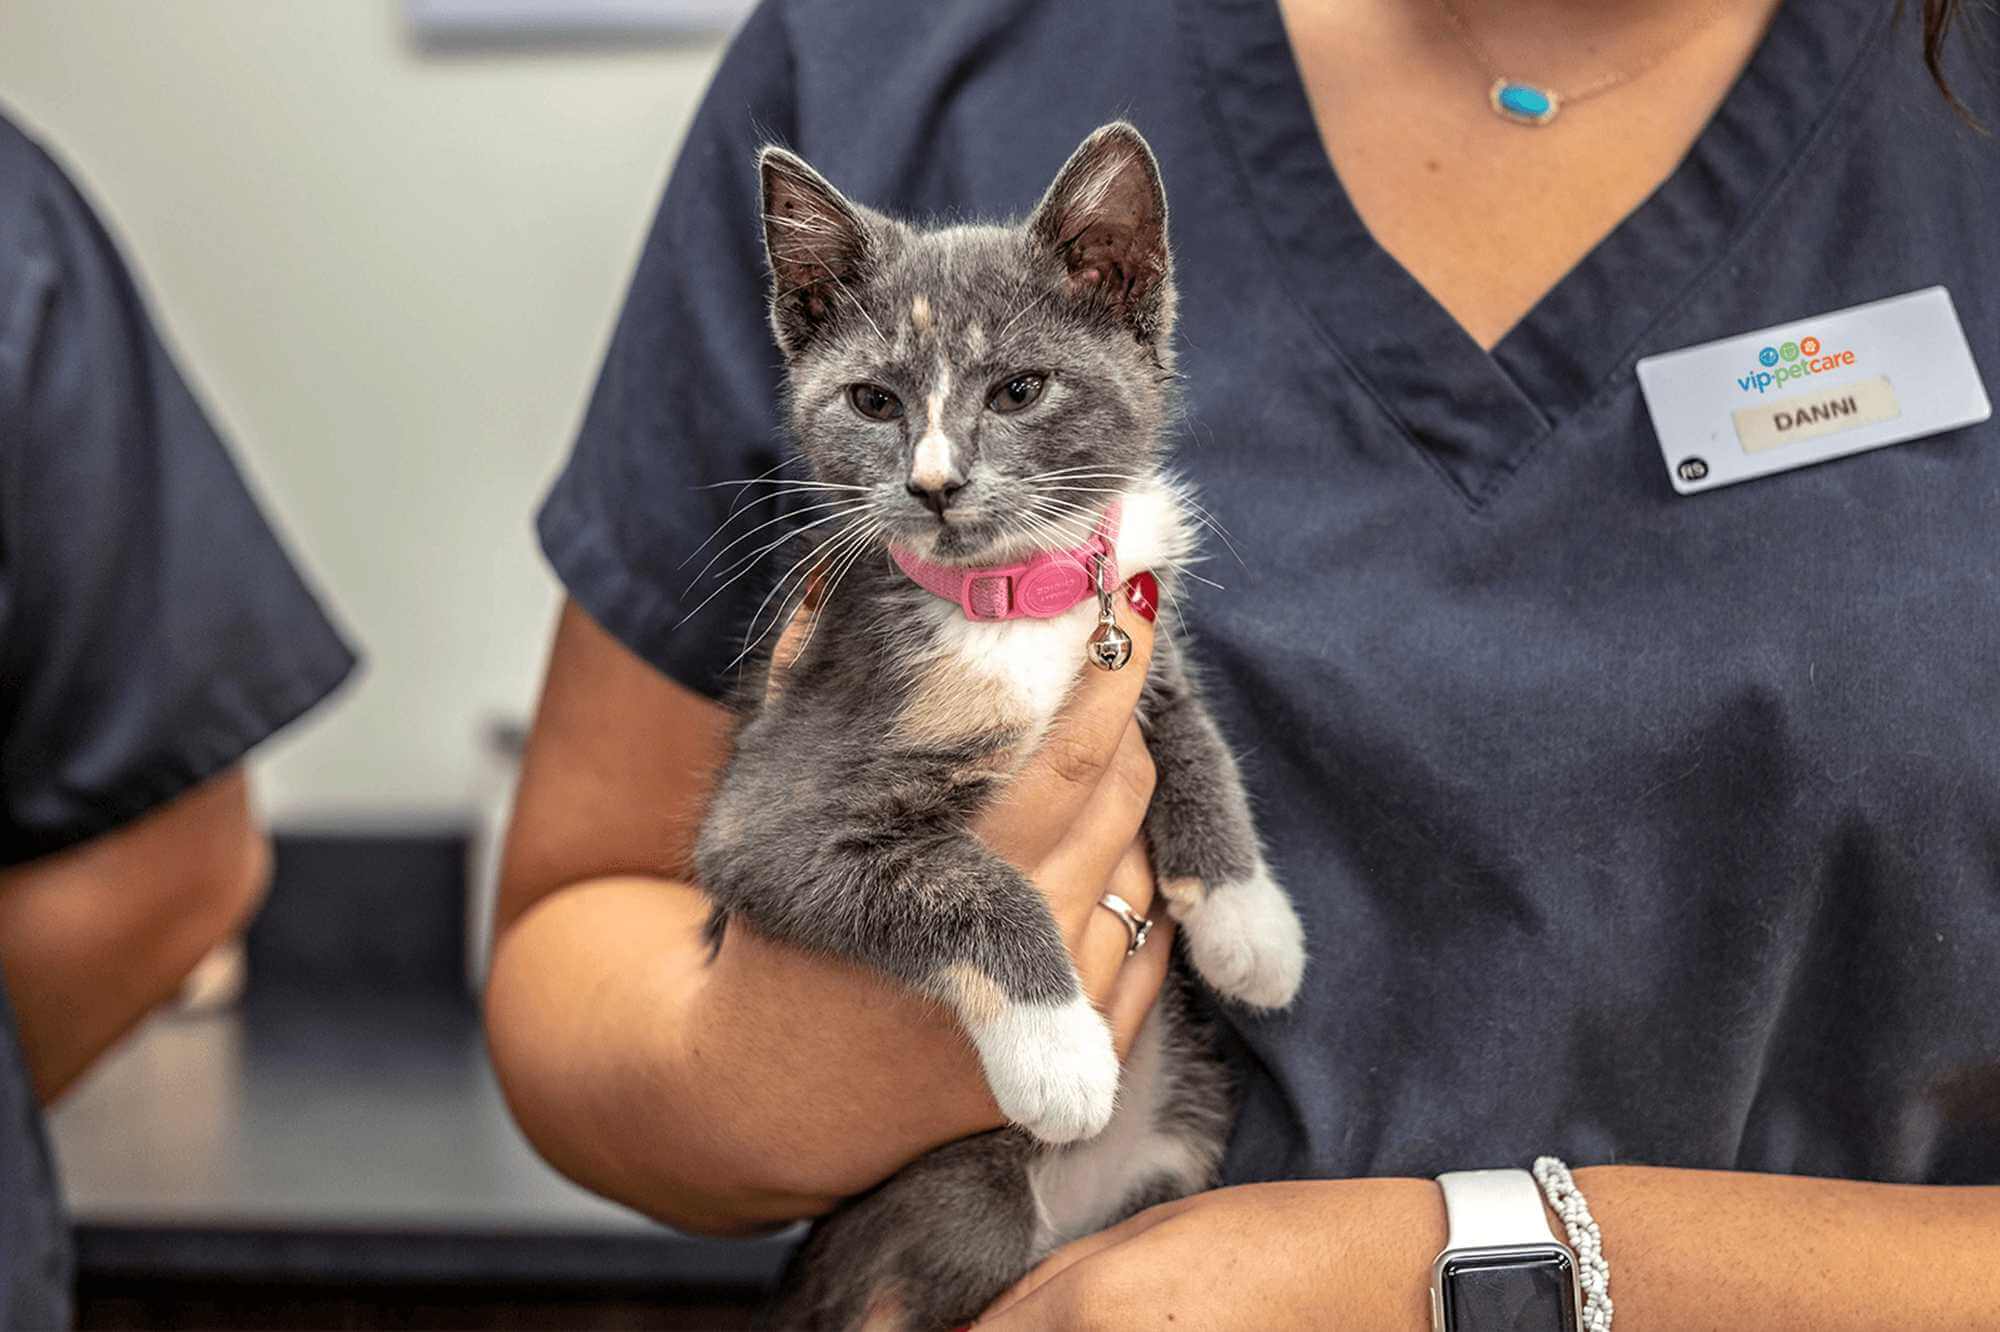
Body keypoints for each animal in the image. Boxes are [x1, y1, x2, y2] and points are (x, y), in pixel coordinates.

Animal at [696, 122, 1304, 1328]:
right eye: (873, 402)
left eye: (1021, 388)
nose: (934, 484)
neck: (1011, 602)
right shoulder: (771, 808)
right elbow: (961, 882)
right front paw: (1058, 1048)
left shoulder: (1136, 637)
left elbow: (1197, 737)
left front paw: (1246, 918)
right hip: (950, 1216)